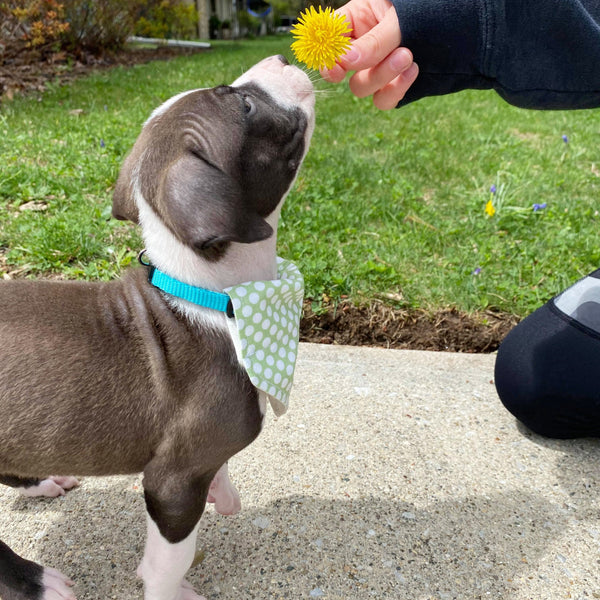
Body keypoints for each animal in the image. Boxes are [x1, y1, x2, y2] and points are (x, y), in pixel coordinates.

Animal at [0, 56, 316, 600]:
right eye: (244, 104)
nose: (282, 58)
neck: (209, 292)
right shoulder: (172, 483)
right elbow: (171, 559)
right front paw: (172, 586)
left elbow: (220, 469)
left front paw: (225, 493)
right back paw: (36, 581)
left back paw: (42, 481)